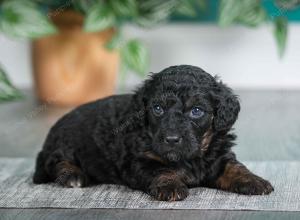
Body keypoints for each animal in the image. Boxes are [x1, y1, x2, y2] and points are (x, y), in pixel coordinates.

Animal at [33, 65, 274, 201]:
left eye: (196, 111)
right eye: (157, 109)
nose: (171, 139)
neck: (191, 158)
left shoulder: (219, 156)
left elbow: (235, 167)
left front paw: (255, 180)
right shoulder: (139, 161)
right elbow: (161, 170)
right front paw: (170, 186)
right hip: (65, 145)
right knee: (55, 162)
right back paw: (72, 175)